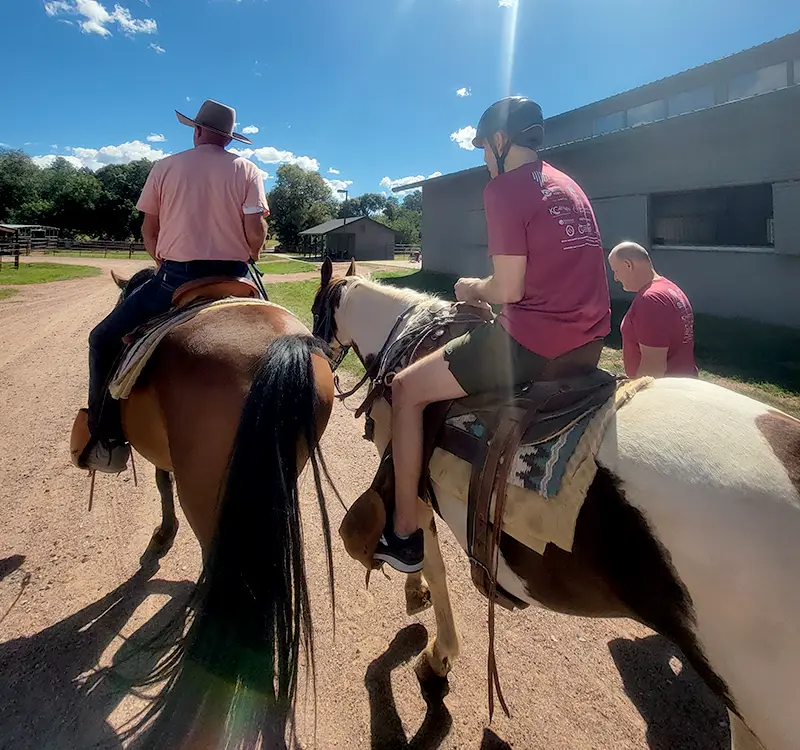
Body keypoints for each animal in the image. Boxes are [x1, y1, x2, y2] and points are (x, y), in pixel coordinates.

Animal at [312, 262, 800, 750]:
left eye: (317, 310)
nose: (320, 358)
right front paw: (417, 595)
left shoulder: (410, 480)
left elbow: (429, 557)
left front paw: (436, 653)